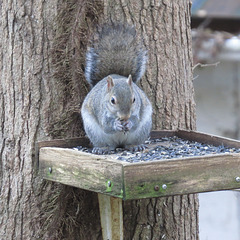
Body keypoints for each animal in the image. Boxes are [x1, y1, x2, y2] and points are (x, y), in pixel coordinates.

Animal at [80, 23, 152, 155]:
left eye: (134, 99)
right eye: (112, 101)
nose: (125, 117)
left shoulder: (138, 109)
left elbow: (136, 121)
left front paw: (130, 123)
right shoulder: (100, 110)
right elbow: (106, 125)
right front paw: (116, 125)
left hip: (142, 129)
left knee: (131, 142)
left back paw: (135, 146)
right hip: (94, 132)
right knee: (107, 144)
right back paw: (102, 148)